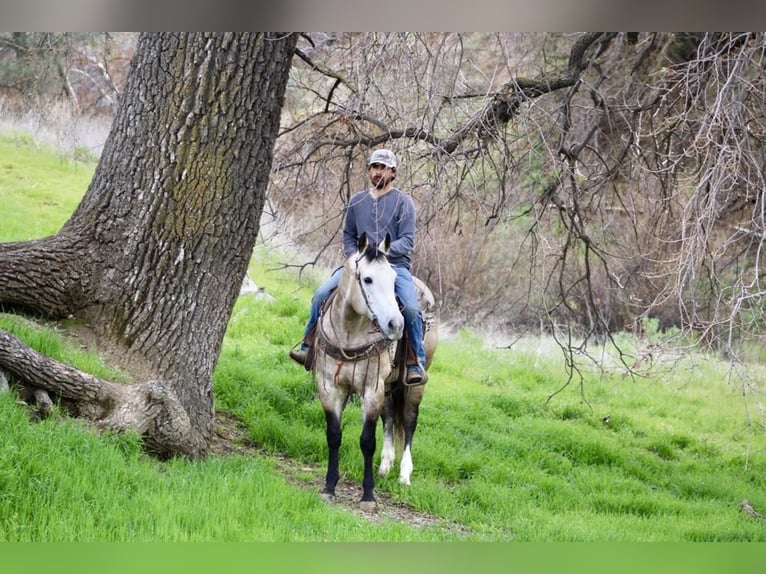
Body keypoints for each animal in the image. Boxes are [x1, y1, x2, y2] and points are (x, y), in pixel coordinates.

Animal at [310, 232, 438, 511]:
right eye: (367, 279)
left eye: (392, 279)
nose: (395, 325)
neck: (349, 332)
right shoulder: (330, 388)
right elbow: (334, 435)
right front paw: (329, 487)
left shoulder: (371, 390)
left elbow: (367, 441)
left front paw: (368, 495)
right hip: (389, 387)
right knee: (390, 418)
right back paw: (385, 466)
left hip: (415, 385)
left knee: (409, 422)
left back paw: (404, 474)